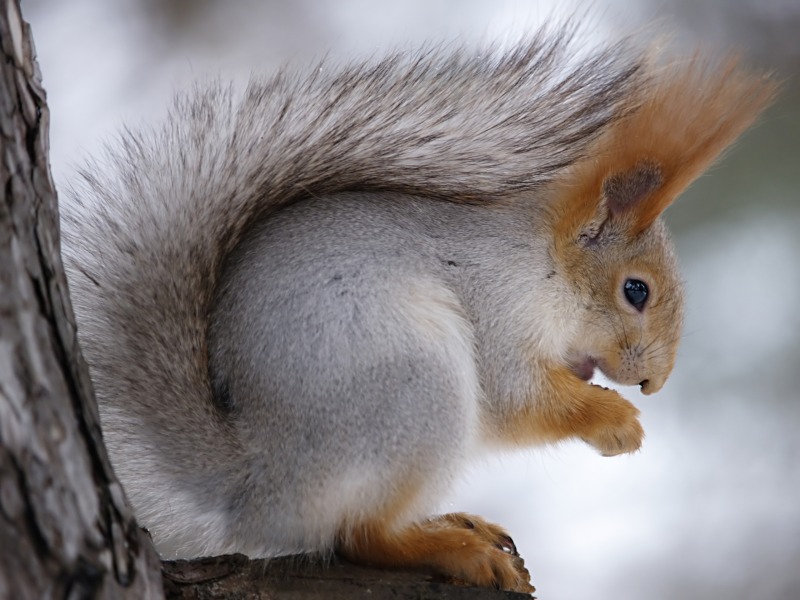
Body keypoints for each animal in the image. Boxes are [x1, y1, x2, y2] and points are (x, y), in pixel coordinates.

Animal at [61, 24, 776, 596]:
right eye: (636, 291)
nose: (654, 383)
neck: (541, 263)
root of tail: (258, 484)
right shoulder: (496, 305)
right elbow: (516, 397)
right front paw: (616, 421)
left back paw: (453, 522)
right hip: (414, 388)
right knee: (357, 536)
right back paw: (446, 548)